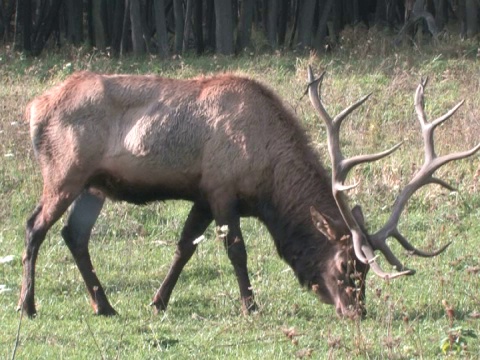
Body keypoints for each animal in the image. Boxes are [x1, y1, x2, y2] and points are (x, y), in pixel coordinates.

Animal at [20, 67, 480, 318]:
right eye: (346, 266)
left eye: (364, 273)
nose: (357, 312)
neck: (267, 186)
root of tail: (34, 108)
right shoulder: (223, 189)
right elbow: (236, 250)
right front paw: (251, 305)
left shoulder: (203, 193)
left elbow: (184, 246)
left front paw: (158, 300)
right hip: (64, 172)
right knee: (34, 226)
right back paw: (27, 305)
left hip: (94, 184)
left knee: (74, 235)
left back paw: (105, 304)